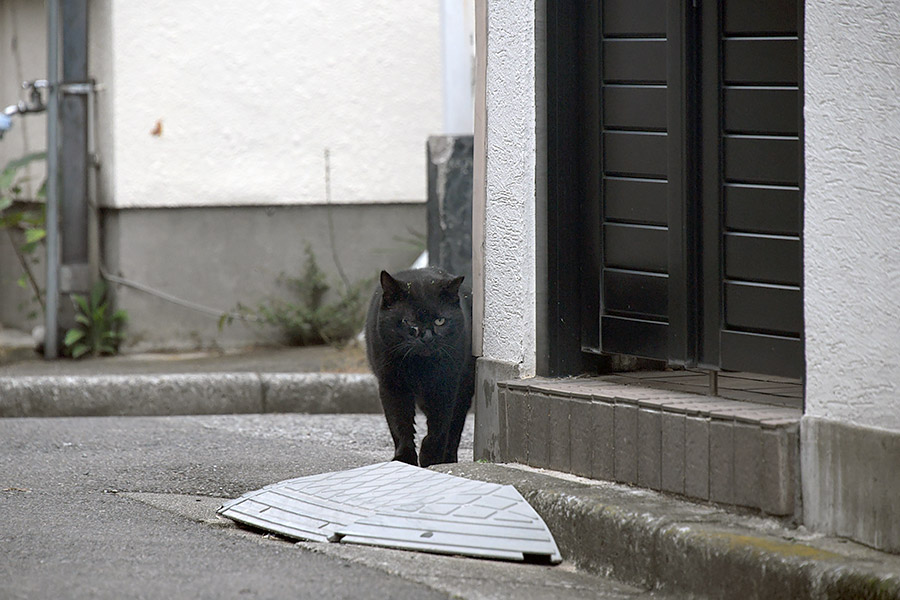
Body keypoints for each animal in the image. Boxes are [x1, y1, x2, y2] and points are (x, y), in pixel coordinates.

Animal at [366, 268, 478, 468]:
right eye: (409, 322)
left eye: (440, 321)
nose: (427, 337)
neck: (419, 367)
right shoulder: (392, 386)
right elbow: (399, 424)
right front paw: (404, 458)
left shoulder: (445, 386)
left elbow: (440, 425)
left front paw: (430, 457)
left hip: (464, 390)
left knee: (455, 427)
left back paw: (448, 458)